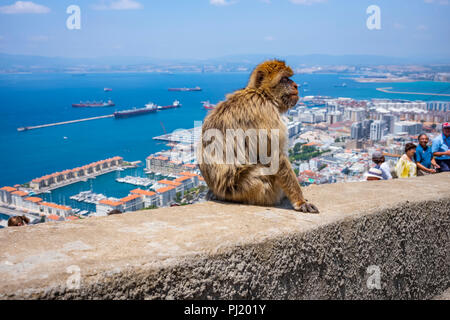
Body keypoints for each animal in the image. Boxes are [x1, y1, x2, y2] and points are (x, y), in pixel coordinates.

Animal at [199, 60, 318, 215]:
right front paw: (300, 201)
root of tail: (217, 189)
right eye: (285, 79)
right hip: (247, 188)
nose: (296, 85)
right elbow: (275, 157)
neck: (262, 94)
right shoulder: (266, 112)